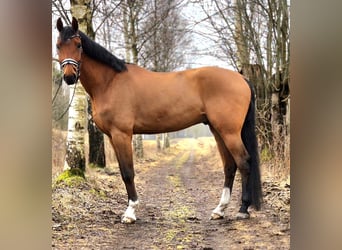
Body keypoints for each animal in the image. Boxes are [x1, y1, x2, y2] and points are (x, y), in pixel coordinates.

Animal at [56, 18, 262, 225]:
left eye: (78, 45)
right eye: (58, 46)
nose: (69, 77)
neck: (110, 82)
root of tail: (242, 78)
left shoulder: (122, 134)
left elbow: (128, 173)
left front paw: (130, 213)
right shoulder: (112, 137)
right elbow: (123, 171)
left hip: (229, 132)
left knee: (244, 162)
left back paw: (243, 209)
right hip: (217, 130)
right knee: (230, 166)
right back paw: (219, 210)